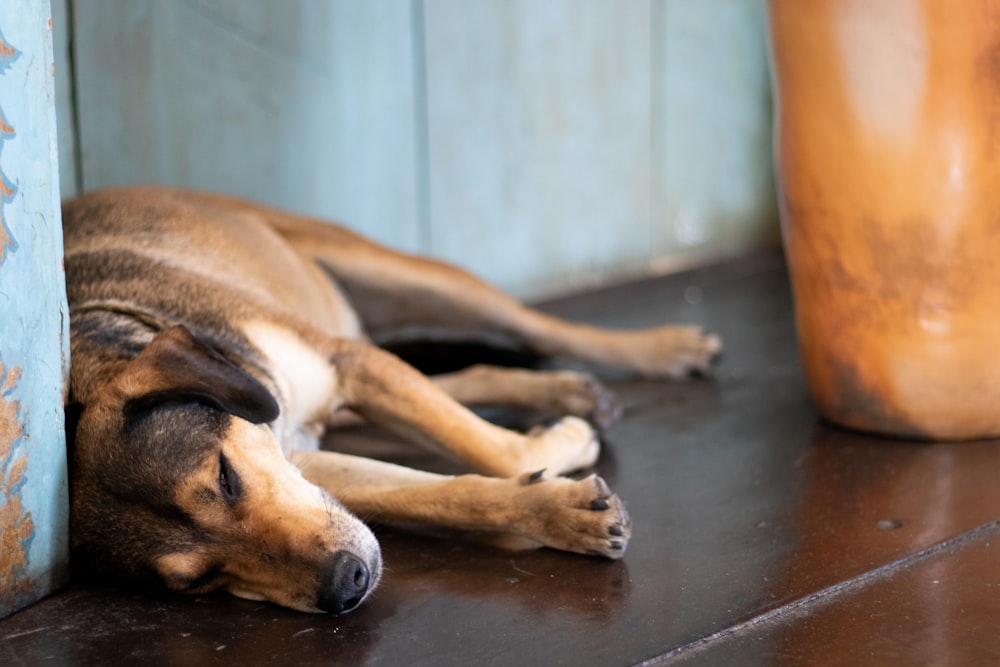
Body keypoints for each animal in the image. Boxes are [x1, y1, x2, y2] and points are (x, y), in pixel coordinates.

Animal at [62, 185, 720, 612]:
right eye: (198, 582)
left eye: (225, 478)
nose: (345, 584)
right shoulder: (309, 462)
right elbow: (438, 494)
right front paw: (559, 511)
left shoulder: (347, 366)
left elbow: (490, 449)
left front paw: (562, 451)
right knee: (464, 375)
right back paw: (565, 390)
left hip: (405, 277)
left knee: (539, 330)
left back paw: (664, 348)